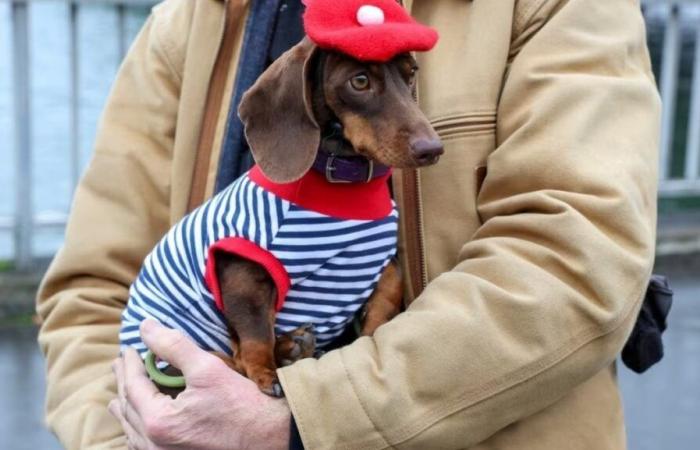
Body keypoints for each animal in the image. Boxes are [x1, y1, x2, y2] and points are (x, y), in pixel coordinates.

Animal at [117, 38, 440, 398]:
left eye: (411, 74)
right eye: (359, 81)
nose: (432, 149)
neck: (345, 189)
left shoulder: (377, 257)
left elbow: (392, 282)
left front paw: (372, 328)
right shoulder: (243, 269)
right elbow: (255, 335)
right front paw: (265, 373)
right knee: (226, 357)